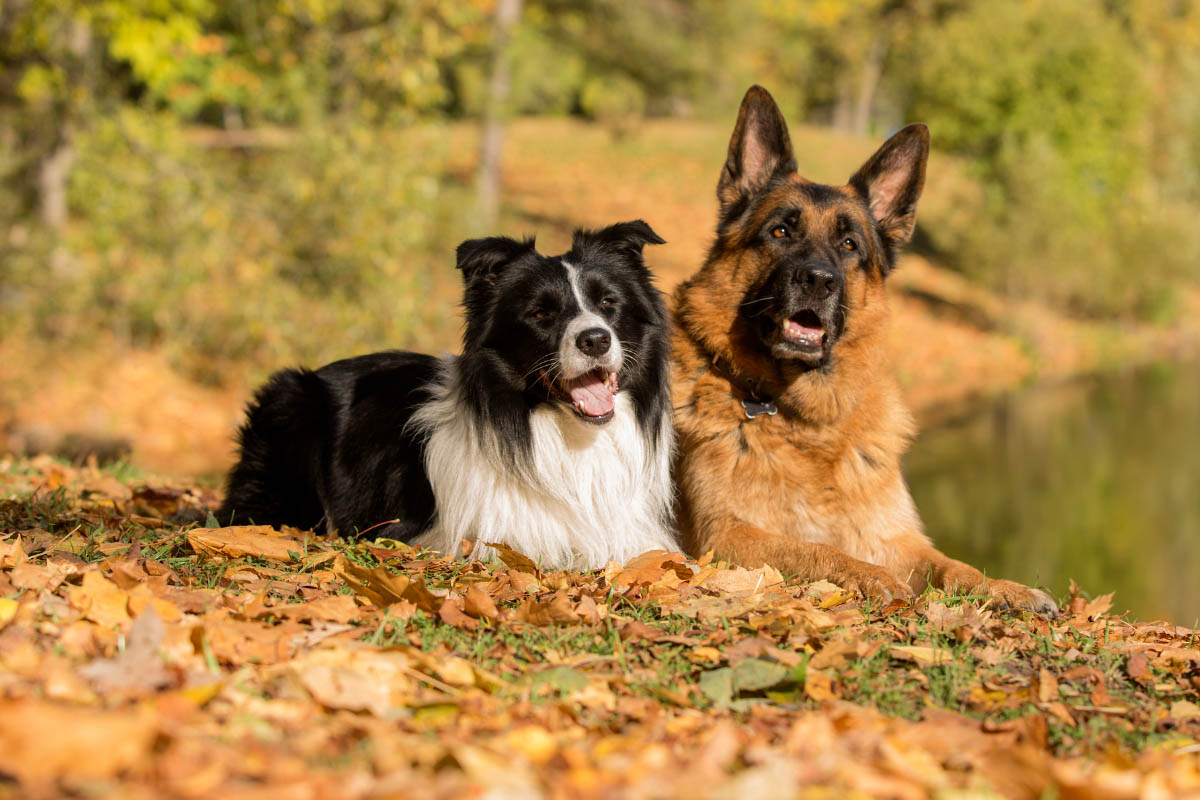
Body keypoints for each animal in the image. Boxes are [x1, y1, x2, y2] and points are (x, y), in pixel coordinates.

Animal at [676, 84, 1060, 618]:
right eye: (780, 232)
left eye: (849, 244)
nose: (819, 280)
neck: (806, 420)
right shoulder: (725, 538)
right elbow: (818, 550)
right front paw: (871, 575)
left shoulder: (897, 537)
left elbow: (955, 567)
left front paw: (1008, 588)